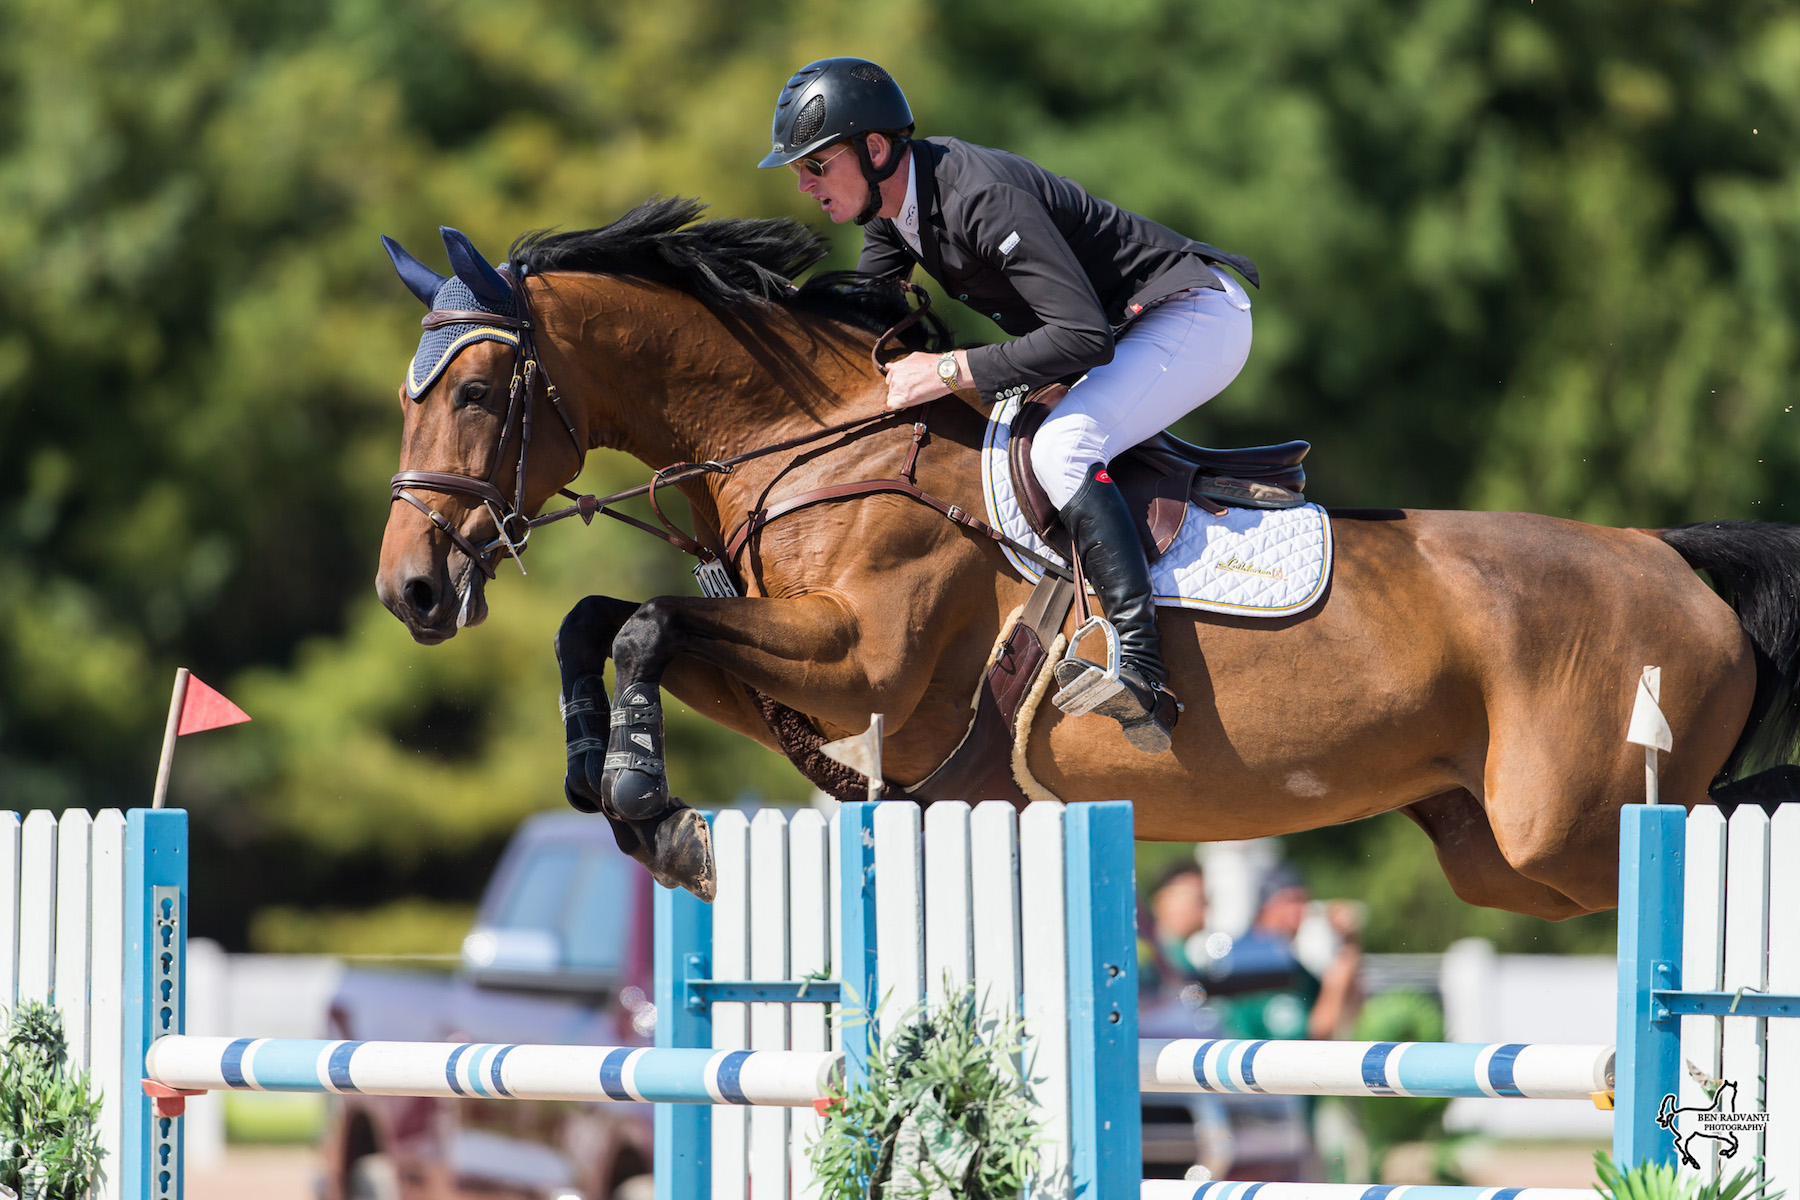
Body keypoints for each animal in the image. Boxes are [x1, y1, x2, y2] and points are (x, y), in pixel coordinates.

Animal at [376, 197, 1800, 913]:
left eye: (477, 394)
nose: (412, 590)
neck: (813, 442)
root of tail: (1675, 563)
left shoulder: (865, 662)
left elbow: (641, 623)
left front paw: (660, 818)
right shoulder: (824, 695)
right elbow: (605, 624)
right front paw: (614, 788)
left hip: (1576, 825)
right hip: (1501, 856)